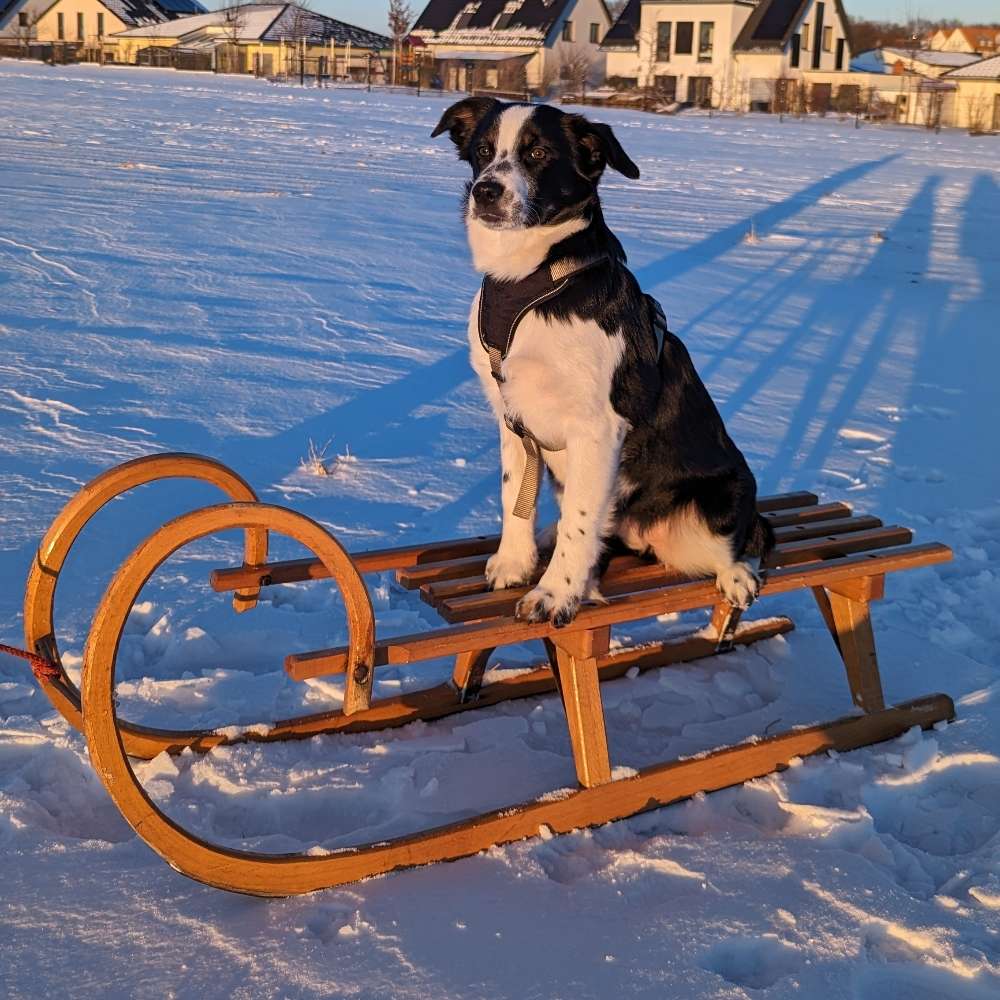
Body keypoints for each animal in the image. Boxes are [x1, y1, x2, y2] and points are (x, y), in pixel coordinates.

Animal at [432, 95, 772, 624]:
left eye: (538, 154)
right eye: (483, 151)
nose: (486, 192)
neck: (531, 278)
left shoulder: (597, 426)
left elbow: (580, 524)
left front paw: (556, 592)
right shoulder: (512, 417)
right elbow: (515, 496)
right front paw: (515, 562)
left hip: (713, 508)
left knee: (754, 535)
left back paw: (738, 574)